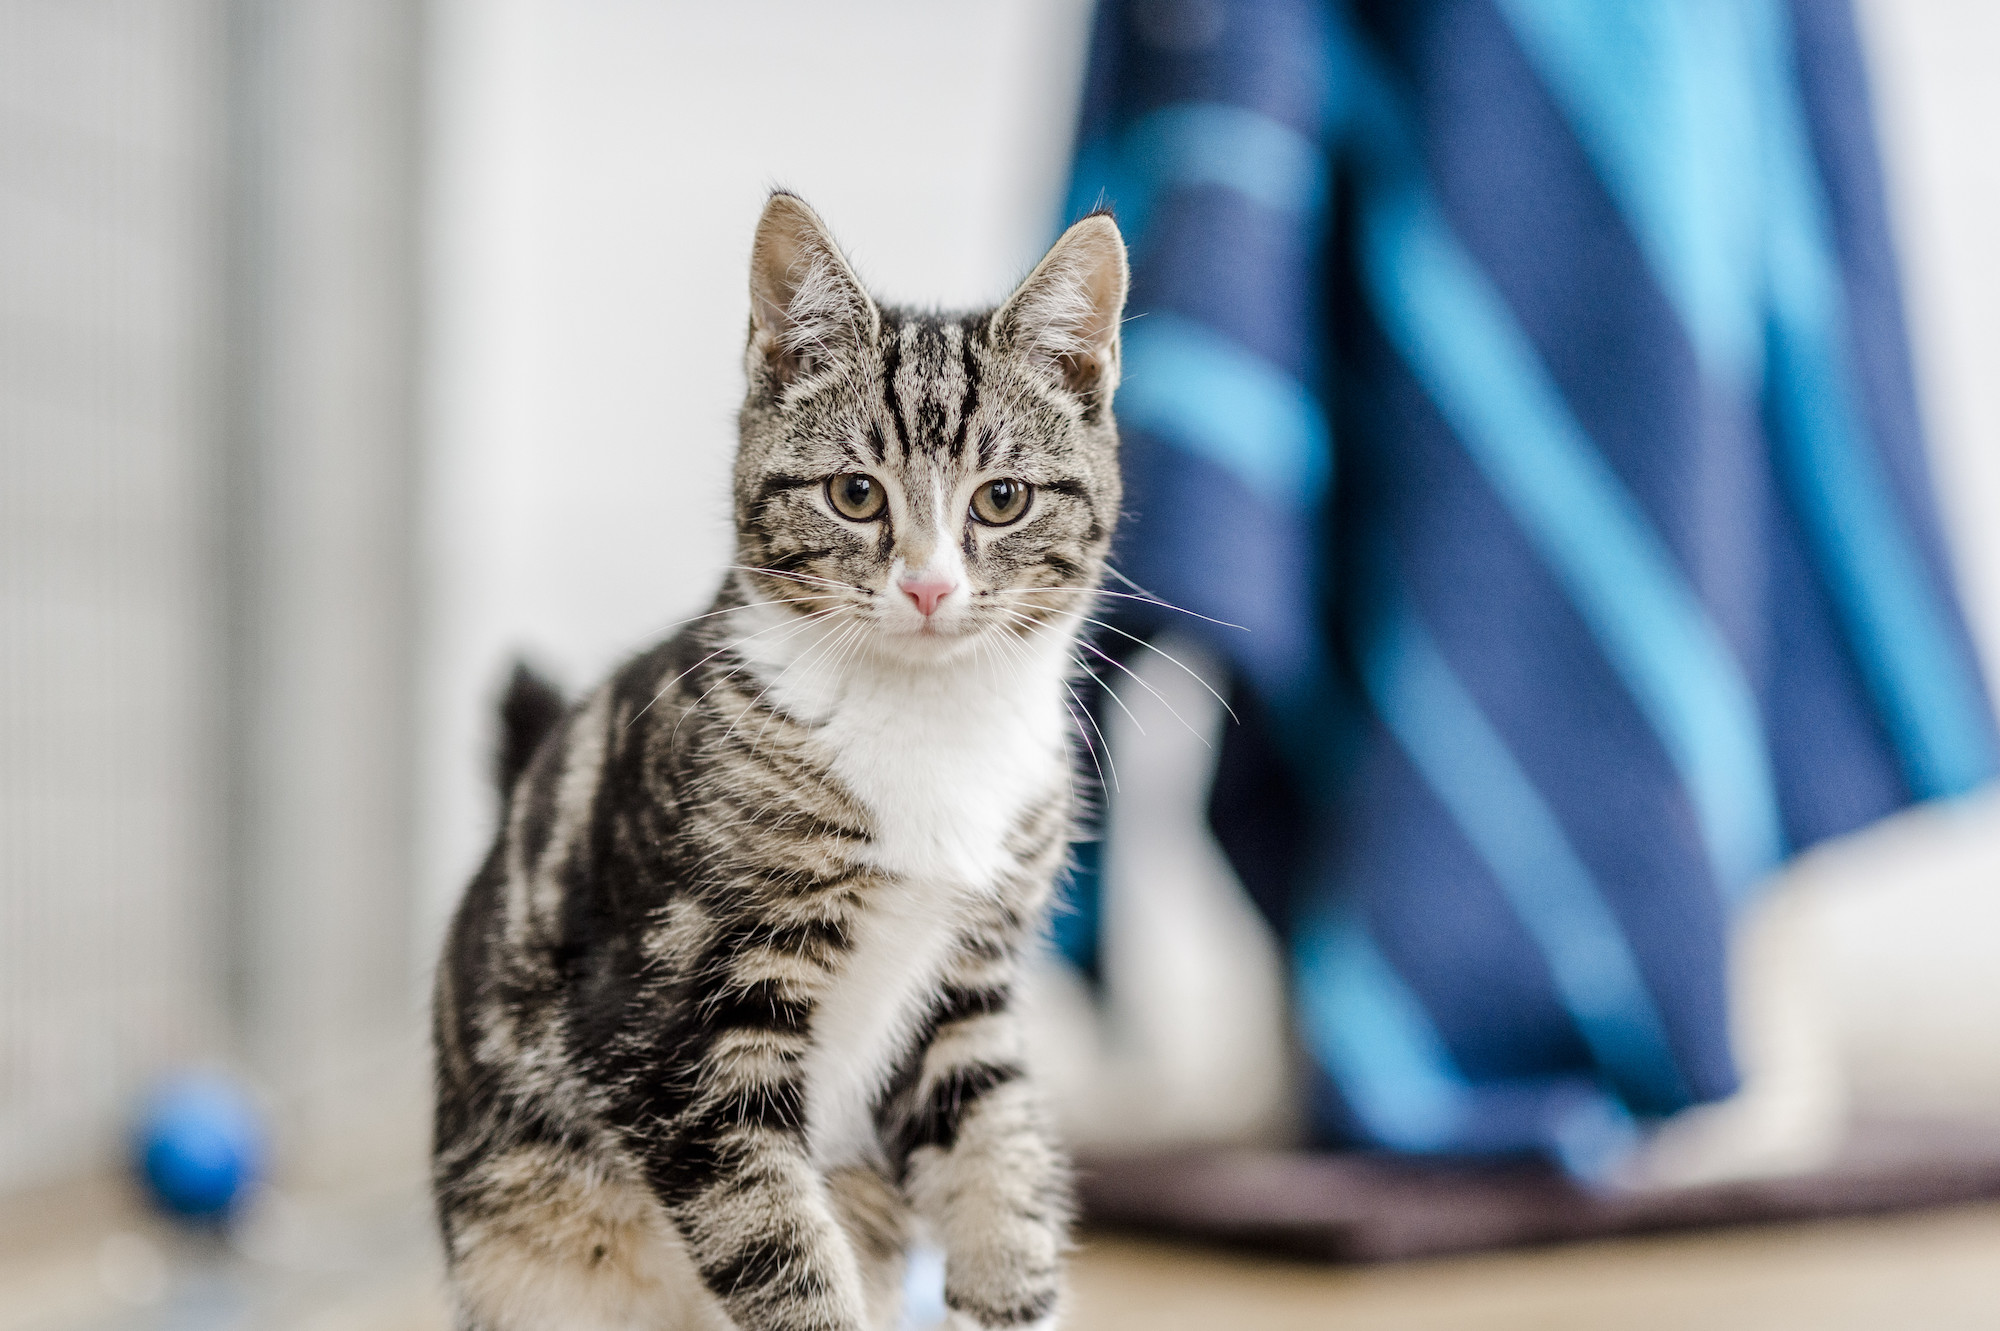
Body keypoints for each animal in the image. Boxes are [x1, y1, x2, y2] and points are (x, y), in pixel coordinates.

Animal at [432, 188, 1128, 1327]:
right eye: (854, 493)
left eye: (1001, 499)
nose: (928, 586)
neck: (926, 720)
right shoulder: (675, 1020)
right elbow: (771, 1236)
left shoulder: (971, 986)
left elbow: (999, 1154)